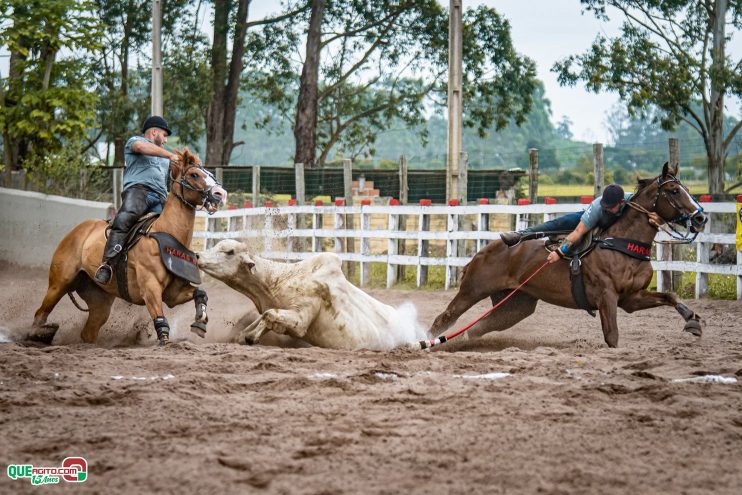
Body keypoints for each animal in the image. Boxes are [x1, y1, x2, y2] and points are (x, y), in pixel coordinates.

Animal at [30, 148, 227, 344]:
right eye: (194, 174)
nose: (221, 194)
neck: (167, 233)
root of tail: (77, 231)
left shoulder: (173, 294)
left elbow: (200, 293)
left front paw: (200, 321)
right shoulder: (150, 289)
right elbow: (161, 323)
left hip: (99, 300)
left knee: (88, 332)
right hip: (59, 283)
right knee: (41, 312)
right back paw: (37, 333)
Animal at [198, 239, 430, 348]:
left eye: (229, 252)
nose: (198, 255)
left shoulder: (301, 319)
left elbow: (270, 315)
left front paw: (251, 337)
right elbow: (264, 317)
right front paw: (243, 336)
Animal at [434, 163, 712, 348]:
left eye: (685, 188)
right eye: (674, 191)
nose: (700, 218)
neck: (621, 243)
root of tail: (482, 252)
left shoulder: (631, 298)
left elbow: (669, 296)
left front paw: (693, 321)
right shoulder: (607, 297)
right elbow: (612, 336)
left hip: (516, 304)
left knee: (479, 327)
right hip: (472, 290)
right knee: (444, 319)